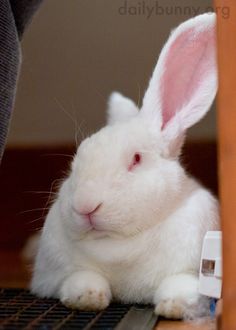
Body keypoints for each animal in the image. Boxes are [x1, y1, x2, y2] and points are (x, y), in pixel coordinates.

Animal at [31, 13, 219, 320]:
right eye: (76, 159)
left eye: (136, 159)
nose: (85, 206)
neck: (118, 244)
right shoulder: (56, 275)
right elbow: (81, 278)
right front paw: (87, 298)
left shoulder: (192, 266)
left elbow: (180, 285)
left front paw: (174, 306)